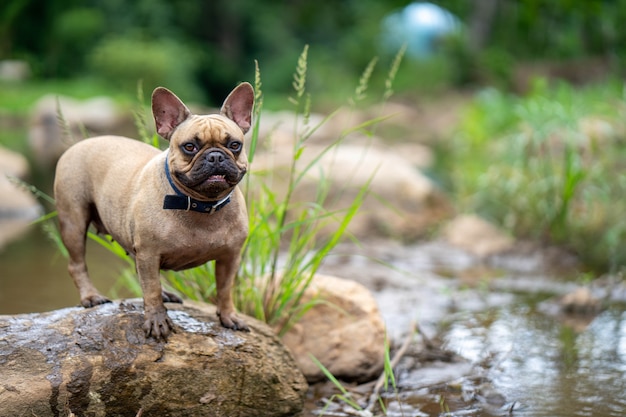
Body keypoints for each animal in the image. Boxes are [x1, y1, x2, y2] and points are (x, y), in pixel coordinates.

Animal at [53, 83, 254, 340]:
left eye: (234, 145)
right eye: (190, 147)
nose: (215, 156)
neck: (203, 204)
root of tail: (77, 145)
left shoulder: (230, 258)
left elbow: (225, 290)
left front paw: (229, 317)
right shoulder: (149, 253)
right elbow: (151, 290)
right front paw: (157, 320)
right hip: (74, 220)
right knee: (78, 263)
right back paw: (91, 296)